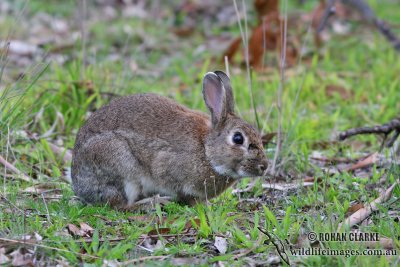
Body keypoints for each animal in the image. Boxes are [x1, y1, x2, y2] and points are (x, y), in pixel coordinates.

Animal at [71, 71, 268, 209]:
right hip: (119, 163)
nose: (264, 167)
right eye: (238, 138)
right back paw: (152, 203)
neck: (206, 149)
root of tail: (78, 183)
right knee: (120, 205)